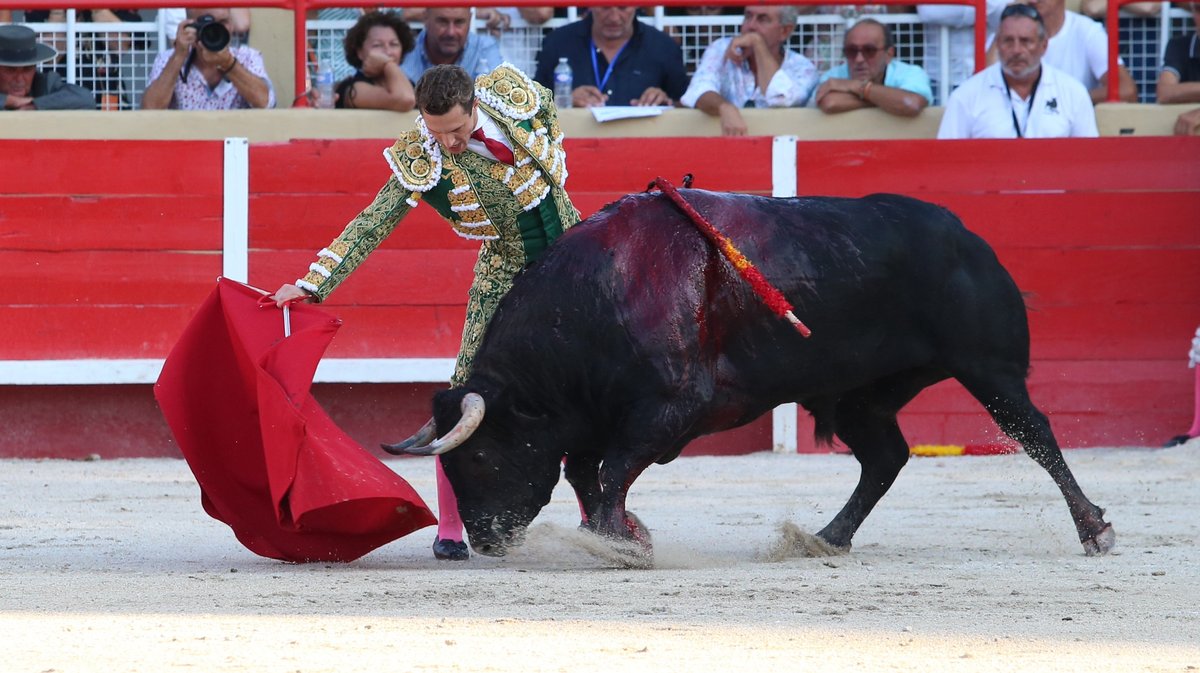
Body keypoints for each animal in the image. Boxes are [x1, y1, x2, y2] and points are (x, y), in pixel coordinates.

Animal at [391, 187, 1113, 556]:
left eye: (479, 456)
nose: (485, 542)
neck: (598, 298)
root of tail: (968, 234)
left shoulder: (669, 405)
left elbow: (611, 470)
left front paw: (618, 541)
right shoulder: (598, 416)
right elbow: (586, 472)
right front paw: (619, 533)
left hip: (988, 368)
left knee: (1037, 434)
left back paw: (1094, 528)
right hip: (855, 394)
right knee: (885, 456)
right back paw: (826, 537)